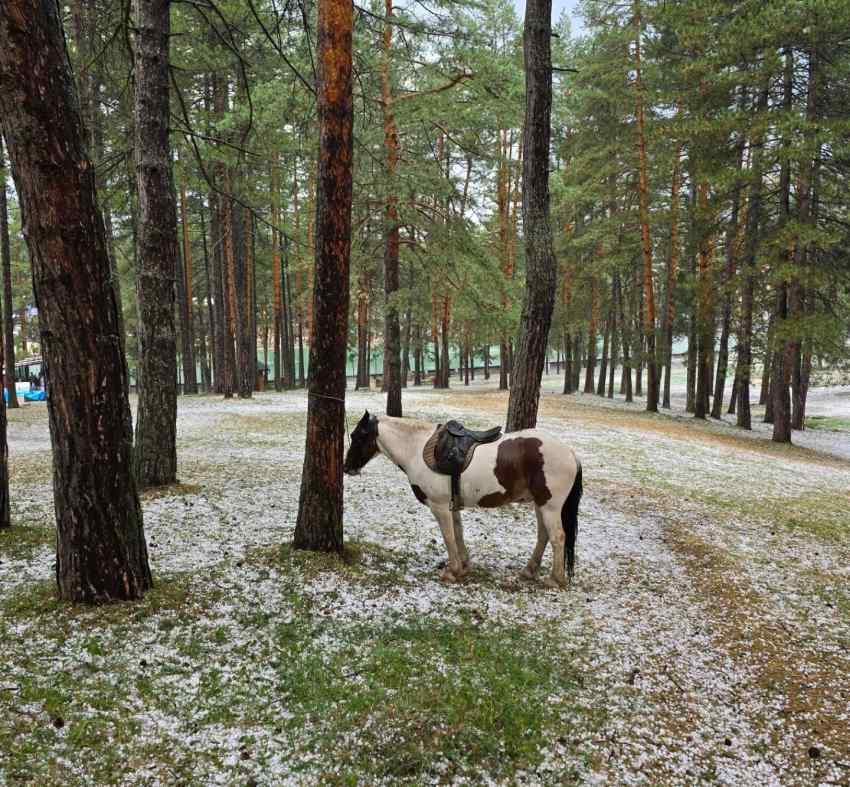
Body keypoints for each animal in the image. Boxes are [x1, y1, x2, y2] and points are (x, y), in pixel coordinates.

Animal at [342, 412, 580, 592]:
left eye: (357, 436)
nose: (347, 467)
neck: (416, 449)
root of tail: (570, 452)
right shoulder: (452, 505)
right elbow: (458, 533)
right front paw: (464, 566)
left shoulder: (439, 506)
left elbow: (448, 536)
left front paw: (452, 571)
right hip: (540, 504)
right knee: (544, 536)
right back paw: (529, 571)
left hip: (550, 506)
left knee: (557, 537)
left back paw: (555, 579)